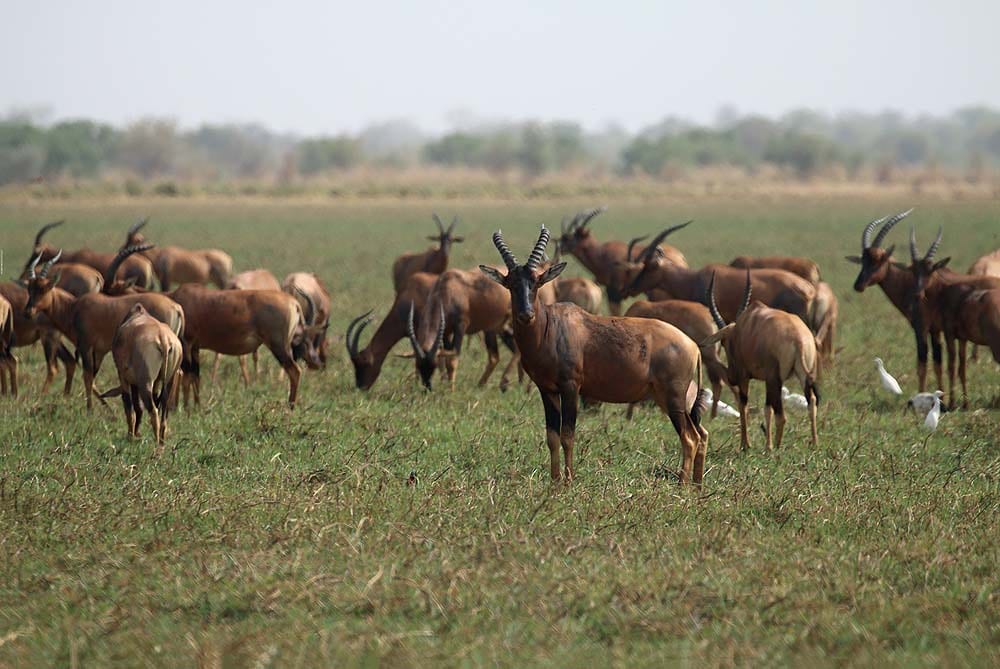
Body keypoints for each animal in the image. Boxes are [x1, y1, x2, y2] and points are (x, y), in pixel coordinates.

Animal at [23, 248, 185, 410]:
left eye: (44, 288)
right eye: (30, 288)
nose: (28, 312)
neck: (74, 307)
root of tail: (176, 307)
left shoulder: (86, 347)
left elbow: (87, 376)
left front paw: (90, 409)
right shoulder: (99, 351)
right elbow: (92, 377)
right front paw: (106, 405)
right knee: (178, 372)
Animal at [99, 303, 183, 449]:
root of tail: (164, 339)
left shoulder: (124, 377)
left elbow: (131, 407)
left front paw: (131, 436)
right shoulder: (152, 383)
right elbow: (140, 407)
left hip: (145, 383)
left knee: (153, 410)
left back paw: (156, 445)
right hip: (169, 381)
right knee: (164, 412)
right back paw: (161, 443)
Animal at [167, 284, 314, 408]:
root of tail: (294, 303)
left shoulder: (187, 343)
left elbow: (186, 376)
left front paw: (186, 410)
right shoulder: (195, 347)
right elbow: (195, 376)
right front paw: (197, 408)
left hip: (278, 347)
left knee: (295, 371)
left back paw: (290, 408)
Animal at [481, 226, 709, 484]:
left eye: (537, 282)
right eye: (510, 283)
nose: (526, 315)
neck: (551, 325)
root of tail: (693, 345)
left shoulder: (571, 387)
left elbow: (568, 434)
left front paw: (568, 482)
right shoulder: (547, 390)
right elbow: (552, 436)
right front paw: (555, 481)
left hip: (674, 398)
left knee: (690, 438)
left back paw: (682, 485)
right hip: (667, 398)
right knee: (700, 435)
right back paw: (697, 485)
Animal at [703, 271, 820, 451]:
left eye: (724, 342)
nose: (731, 377)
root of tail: (798, 339)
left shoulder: (745, 377)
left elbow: (743, 405)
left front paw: (746, 445)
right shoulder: (765, 380)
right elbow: (767, 409)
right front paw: (763, 444)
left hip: (774, 379)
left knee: (781, 415)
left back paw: (775, 448)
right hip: (803, 375)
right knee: (811, 402)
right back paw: (813, 444)